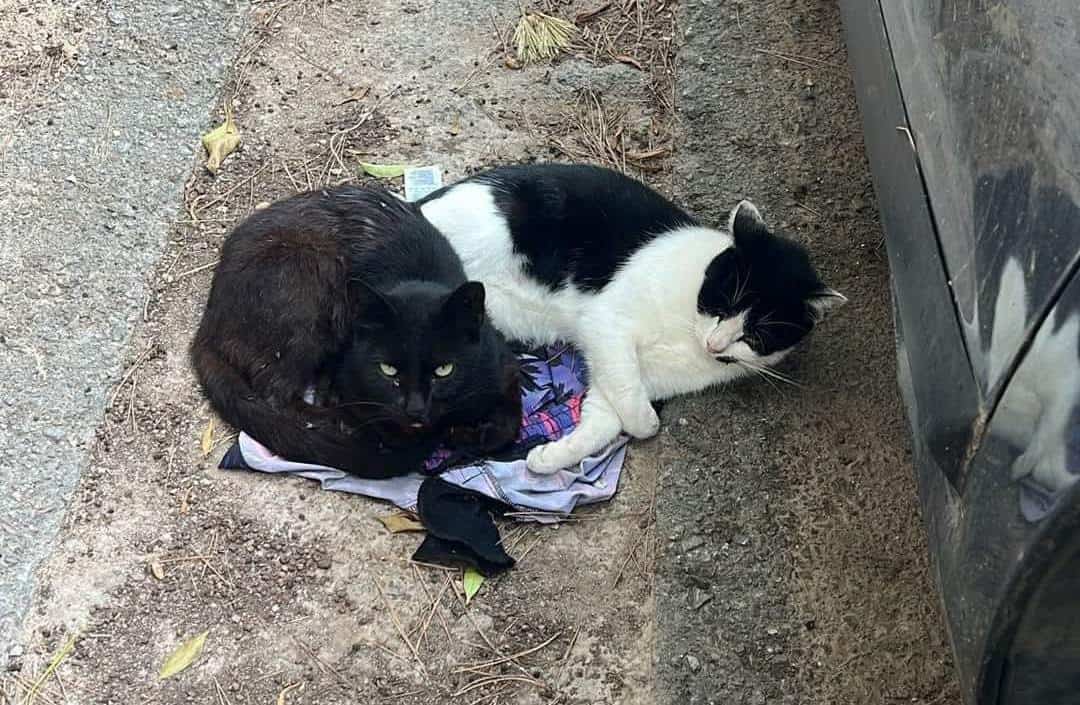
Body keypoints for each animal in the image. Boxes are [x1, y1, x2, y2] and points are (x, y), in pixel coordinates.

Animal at [193, 184, 522, 475]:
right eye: (388, 370)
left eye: (444, 370)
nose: (414, 408)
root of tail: (209, 319)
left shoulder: (500, 362)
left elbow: (512, 418)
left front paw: (477, 433)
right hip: (310, 286)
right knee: (277, 396)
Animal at [416, 164, 846, 472]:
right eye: (722, 305)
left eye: (755, 336)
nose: (715, 344)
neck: (688, 330)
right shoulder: (607, 325)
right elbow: (637, 410)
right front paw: (648, 425)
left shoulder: (634, 378)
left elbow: (605, 416)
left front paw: (553, 457)